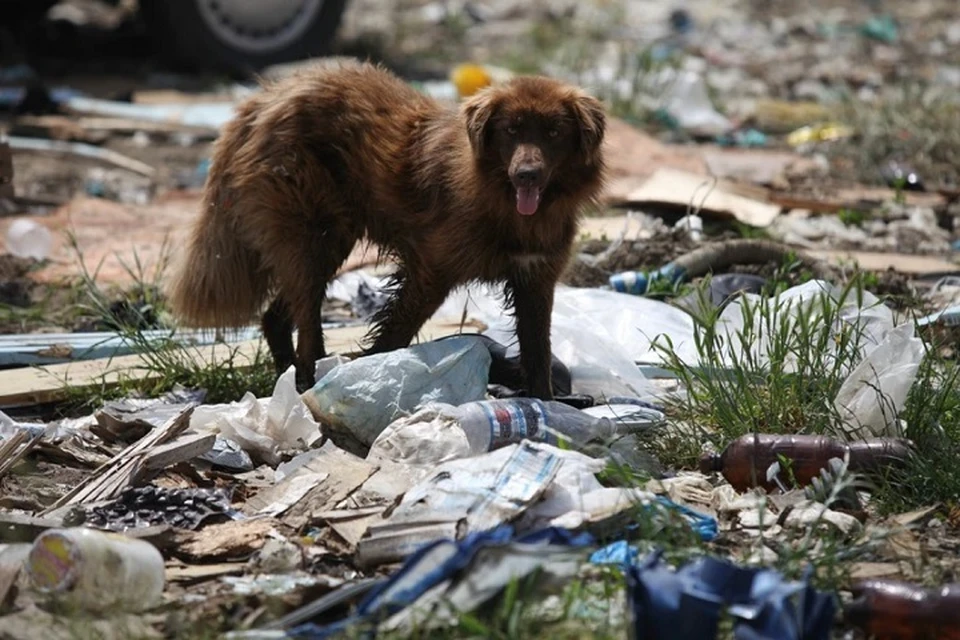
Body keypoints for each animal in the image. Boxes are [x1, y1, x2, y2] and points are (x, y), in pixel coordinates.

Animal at [164, 61, 600, 400]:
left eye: (554, 132)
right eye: (511, 130)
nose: (527, 174)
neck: (507, 205)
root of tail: (266, 96)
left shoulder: (535, 280)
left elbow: (537, 350)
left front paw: (545, 406)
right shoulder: (429, 273)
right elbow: (395, 332)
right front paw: (371, 376)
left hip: (323, 242)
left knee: (275, 317)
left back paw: (288, 380)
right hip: (315, 237)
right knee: (305, 322)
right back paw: (307, 380)